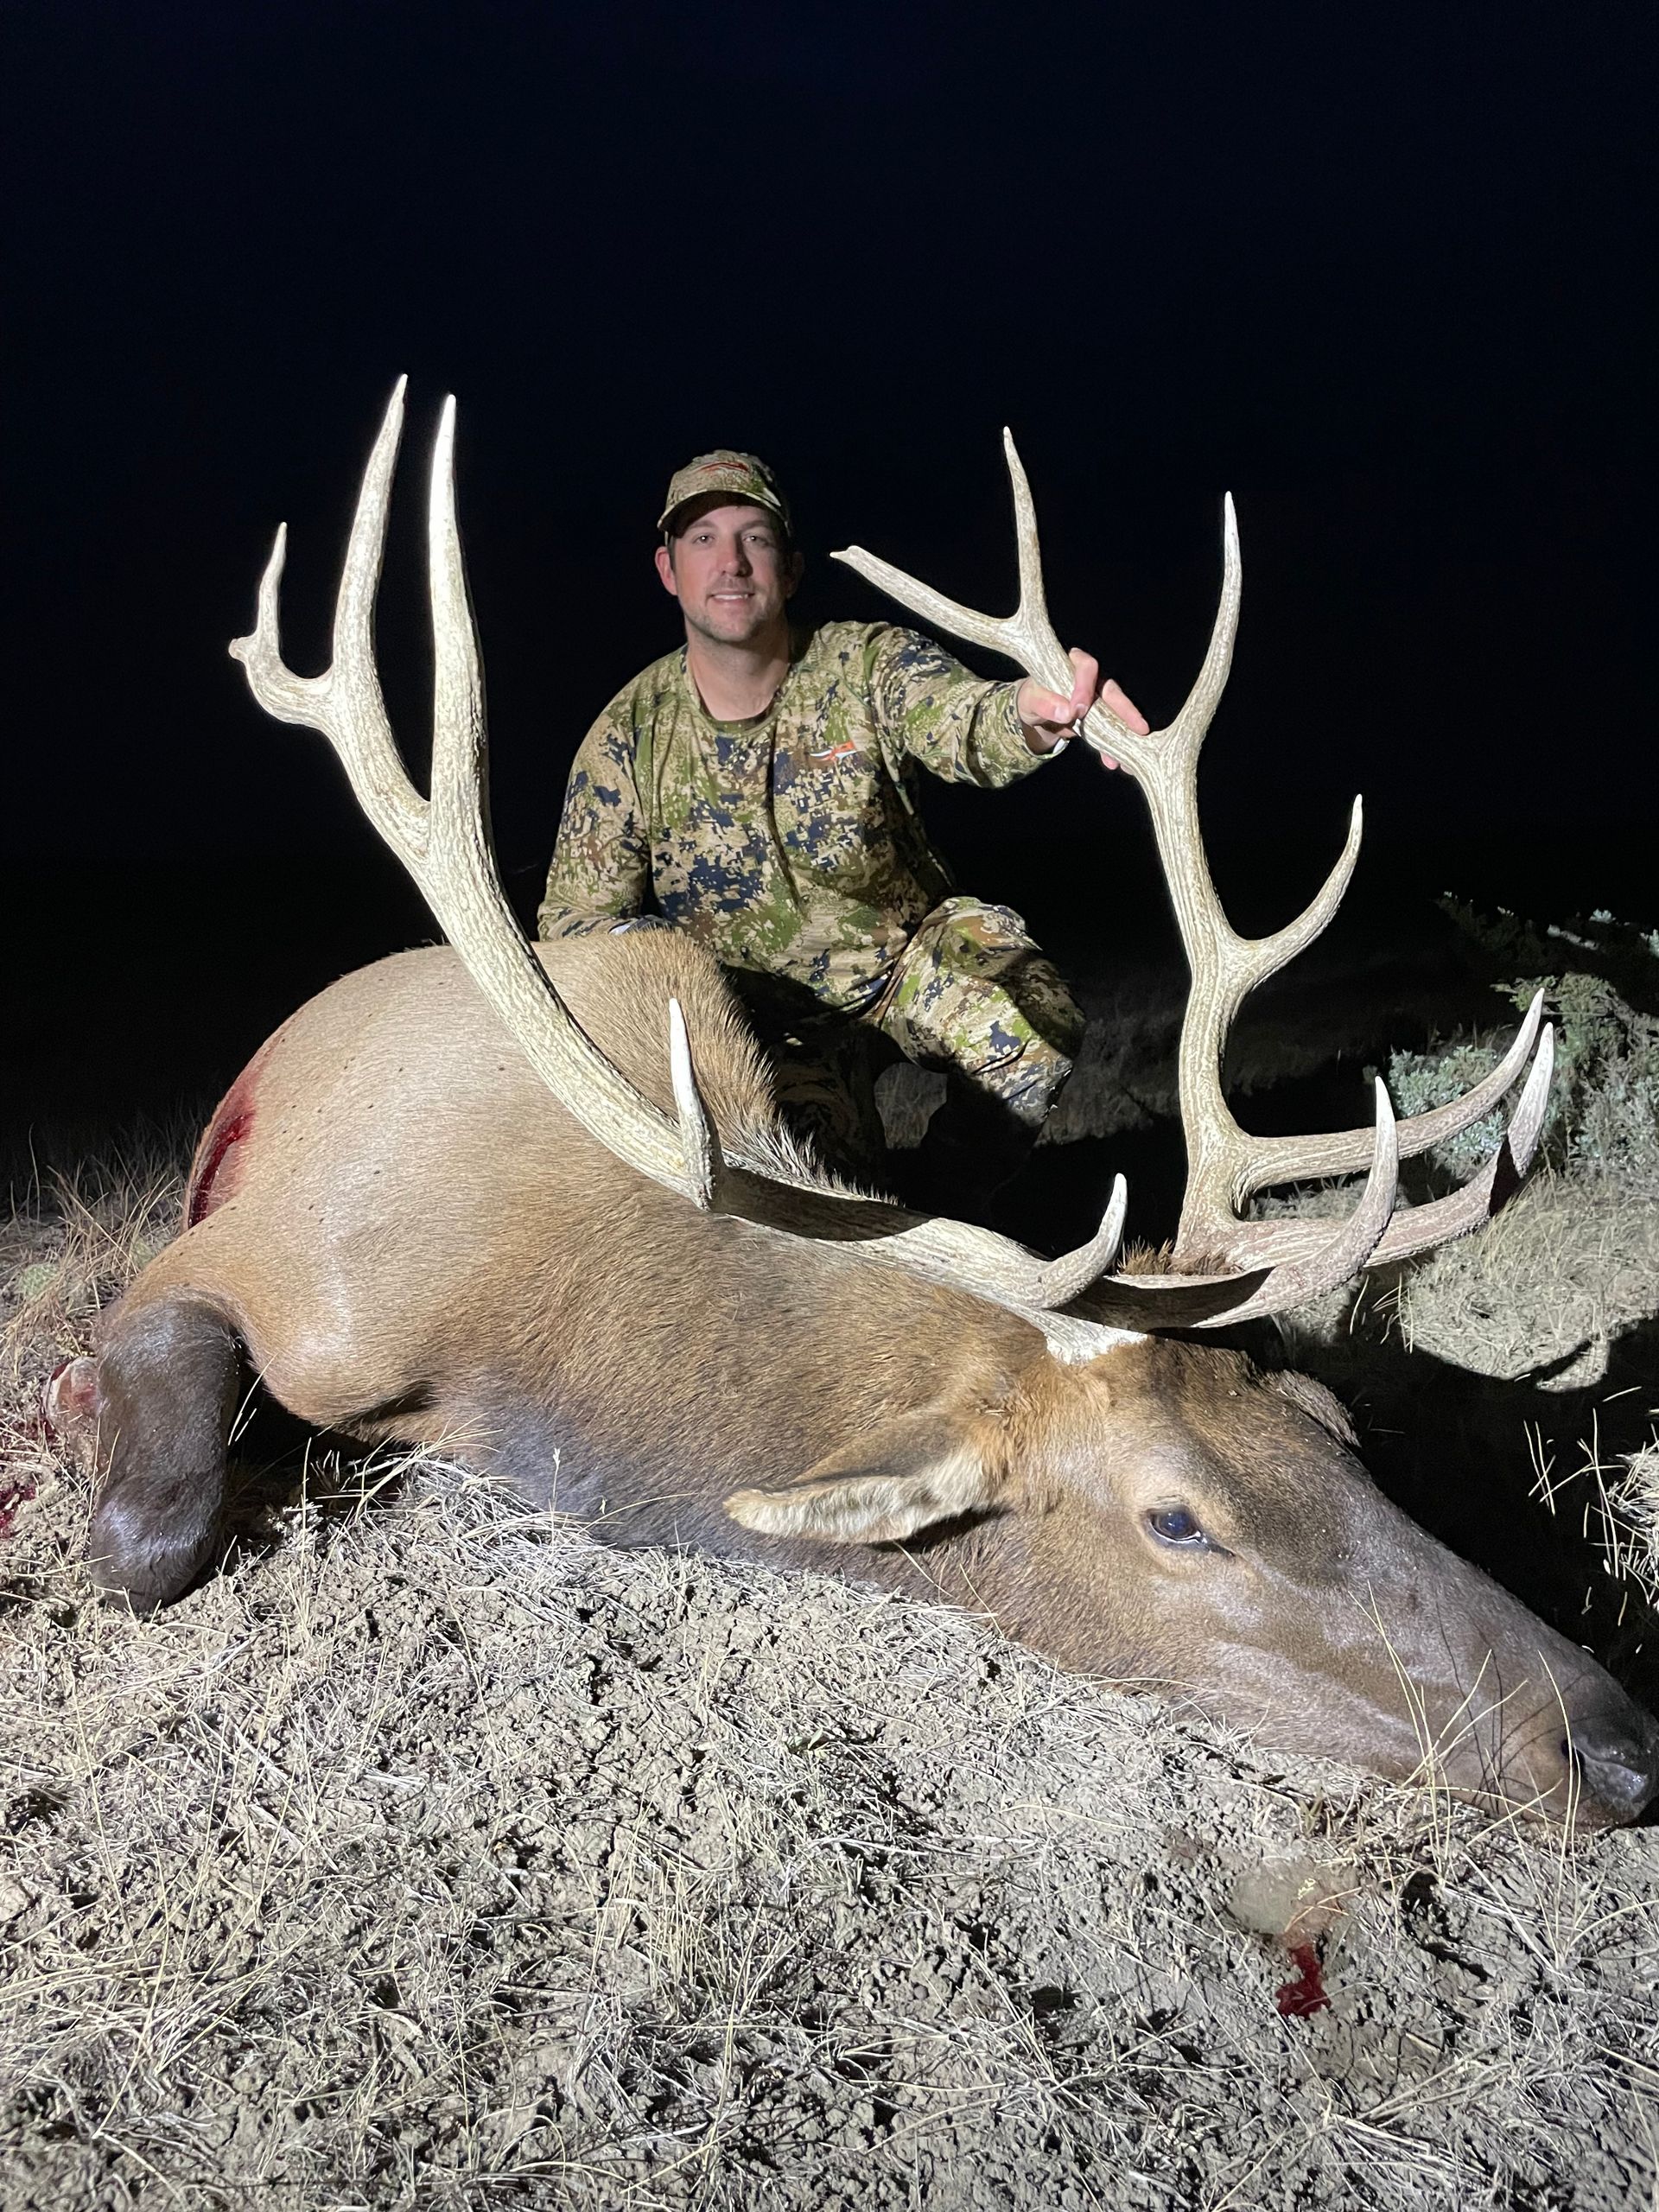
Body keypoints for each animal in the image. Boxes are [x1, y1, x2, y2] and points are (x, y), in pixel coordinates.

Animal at [47, 383, 1659, 1826]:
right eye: (1176, 1519)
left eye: (1331, 1425)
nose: (1620, 1745)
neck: (553, 1362)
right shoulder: (259, 1262)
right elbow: (147, 1531)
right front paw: (81, 1415)